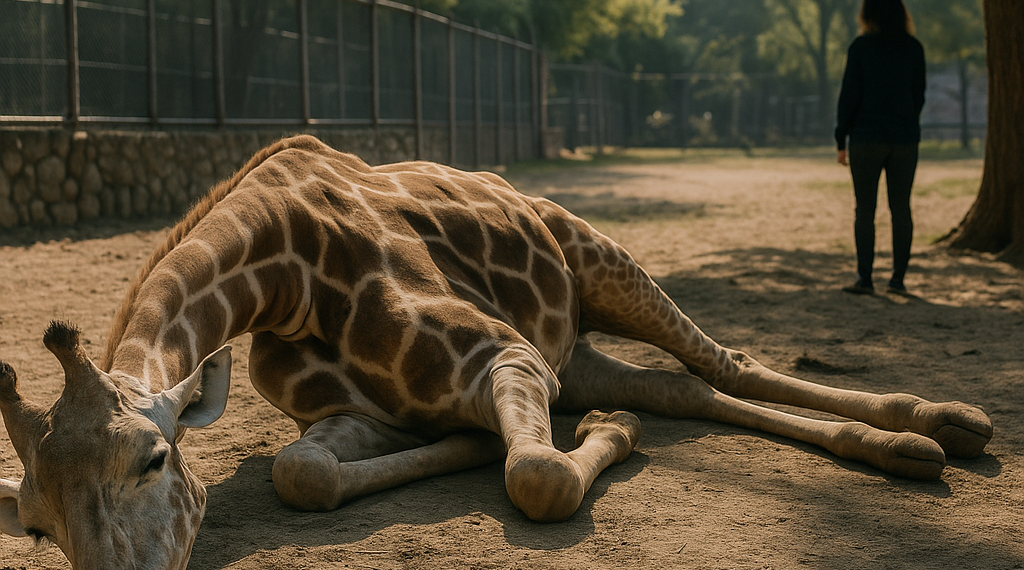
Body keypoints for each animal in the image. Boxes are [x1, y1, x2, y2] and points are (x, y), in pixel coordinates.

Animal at [0, 135, 992, 569]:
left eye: (154, 459)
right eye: (34, 523)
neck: (281, 270)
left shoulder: (505, 358)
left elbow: (539, 476)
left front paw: (587, 440)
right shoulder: (368, 410)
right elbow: (302, 473)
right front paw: (490, 438)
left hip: (595, 257)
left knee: (722, 364)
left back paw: (943, 425)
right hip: (571, 345)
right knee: (682, 390)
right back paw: (920, 441)